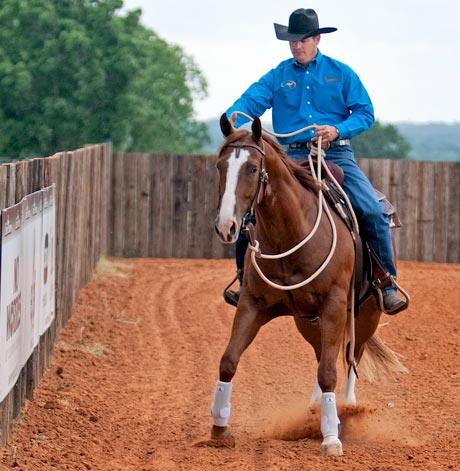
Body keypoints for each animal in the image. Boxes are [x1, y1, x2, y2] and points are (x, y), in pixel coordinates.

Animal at [210, 114, 406, 456]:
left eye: (252, 168)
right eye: (221, 166)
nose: (226, 226)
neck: (291, 233)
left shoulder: (335, 306)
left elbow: (330, 371)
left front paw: (331, 438)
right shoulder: (252, 305)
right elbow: (229, 361)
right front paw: (219, 428)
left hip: (364, 314)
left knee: (351, 356)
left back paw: (347, 407)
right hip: (308, 320)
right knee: (322, 354)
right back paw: (316, 411)